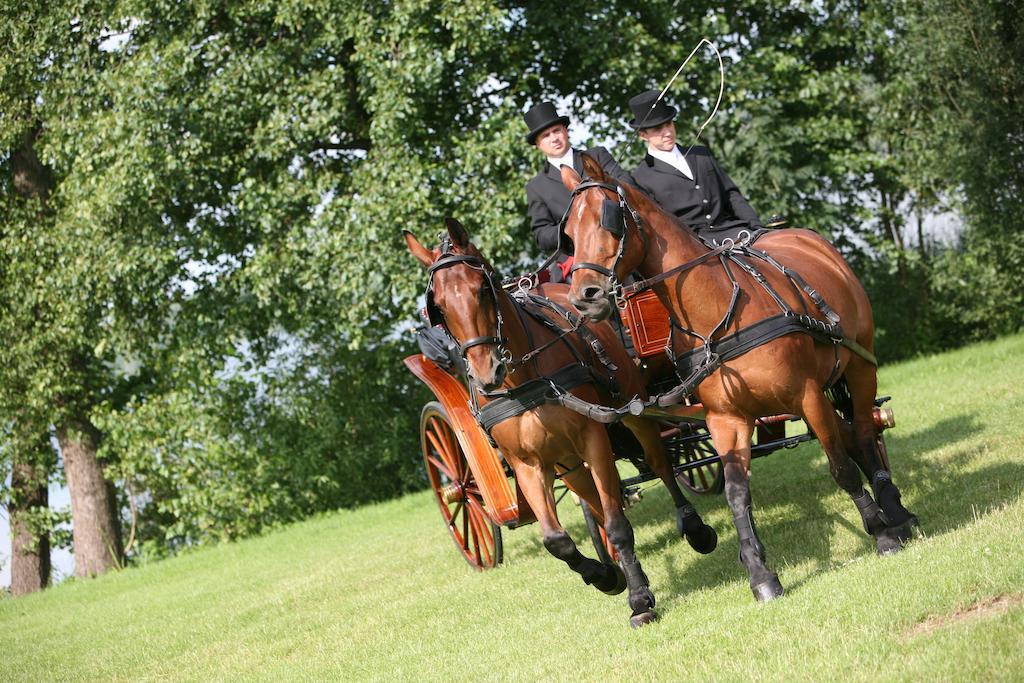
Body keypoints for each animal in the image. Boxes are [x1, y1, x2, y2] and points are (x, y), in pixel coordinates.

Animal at [403, 220, 716, 630]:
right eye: (437, 307)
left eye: (483, 289)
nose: (487, 374)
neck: (524, 384)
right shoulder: (527, 464)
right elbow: (557, 539)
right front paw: (607, 577)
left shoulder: (593, 438)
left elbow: (617, 525)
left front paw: (639, 600)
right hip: (566, 463)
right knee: (594, 499)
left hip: (631, 412)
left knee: (659, 464)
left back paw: (696, 531)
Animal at [565, 153, 917, 598]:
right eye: (568, 234)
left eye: (607, 218)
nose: (584, 297)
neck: (717, 312)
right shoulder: (726, 418)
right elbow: (736, 493)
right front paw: (760, 573)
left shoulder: (806, 394)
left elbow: (841, 467)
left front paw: (881, 531)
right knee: (852, 433)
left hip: (858, 366)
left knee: (865, 431)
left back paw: (895, 511)